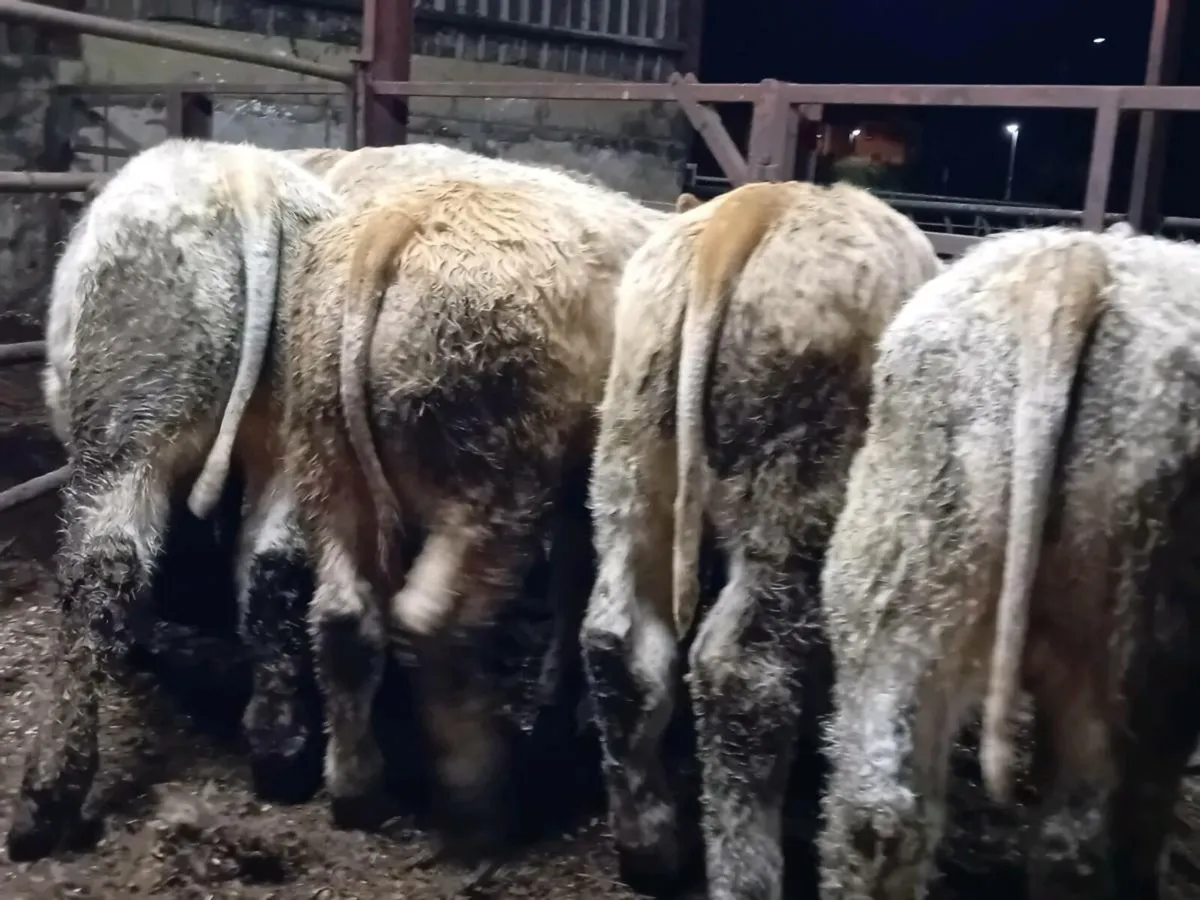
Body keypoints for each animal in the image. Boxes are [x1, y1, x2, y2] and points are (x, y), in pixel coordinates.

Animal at [6, 138, 343, 862]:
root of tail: (251, 179)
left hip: (129, 423)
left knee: (105, 570)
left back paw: (44, 803)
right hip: (297, 435)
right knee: (274, 567)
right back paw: (281, 752)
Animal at [278, 173, 668, 878]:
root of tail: (396, 222)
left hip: (322, 451)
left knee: (344, 617)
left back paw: (357, 791)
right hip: (489, 468)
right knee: (432, 623)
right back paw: (479, 803)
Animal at [580, 180, 942, 900]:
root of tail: (749, 208)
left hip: (631, 453)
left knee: (616, 642)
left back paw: (650, 848)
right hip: (795, 485)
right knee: (741, 672)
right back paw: (745, 875)